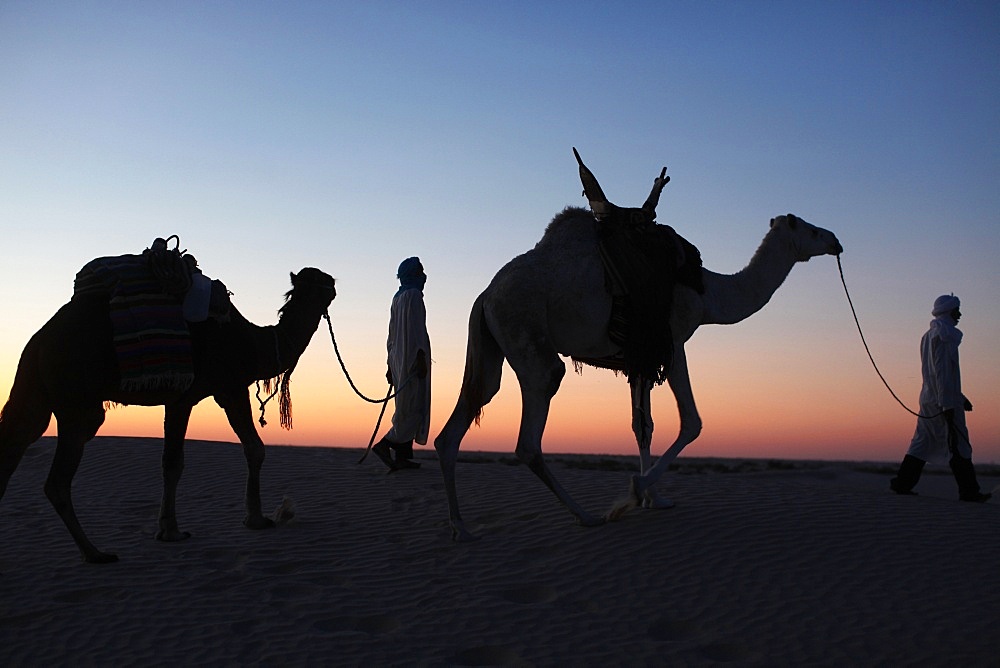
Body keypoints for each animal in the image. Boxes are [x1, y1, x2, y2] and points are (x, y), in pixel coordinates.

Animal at [0, 266, 336, 564]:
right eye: (322, 281)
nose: (334, 284)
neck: (253, 345)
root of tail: (40, 339)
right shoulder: (224, 388)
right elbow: (249, 449)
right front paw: (253, 519)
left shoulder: (186, 397)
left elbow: (171, 463)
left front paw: (168, 530)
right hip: (77, 401)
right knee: (56, 480)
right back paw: (95, 553)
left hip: (35, 388)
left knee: (17, 437)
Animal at [434, 150, 840, 536]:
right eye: (809, 229)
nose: (836, 240)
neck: (708, 291)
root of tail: (486, 294)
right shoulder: (672, 341)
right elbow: (691, 421)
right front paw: (635, 491)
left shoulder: (639, 355)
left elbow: (642, 426)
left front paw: (653, 498)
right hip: (525, 331)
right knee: (531, 431)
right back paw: (586, 516)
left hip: (493, 344)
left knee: (466, 413)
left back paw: (460, 527)